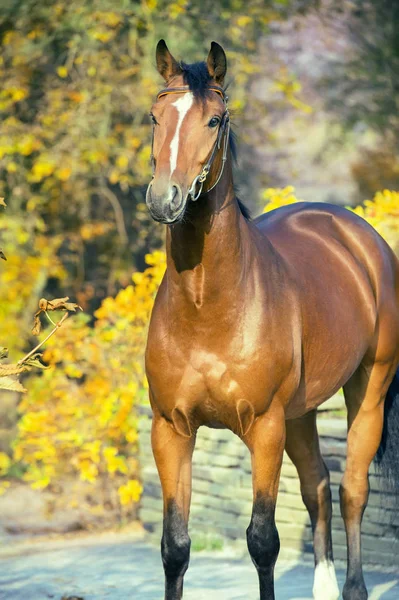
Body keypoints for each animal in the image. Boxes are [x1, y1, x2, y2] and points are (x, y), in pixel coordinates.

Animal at [145, 38, 399, 600]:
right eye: (154, 115)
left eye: (215, 119)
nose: (164, 199)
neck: (208, 308)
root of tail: (355, 233)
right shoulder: (170, 429)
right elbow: (175, 547)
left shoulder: (264, 427)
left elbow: (262, 541)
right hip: (301, 413)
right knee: (317, 485)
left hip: (367, 390)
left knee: (351, 489)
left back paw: (353, 587)